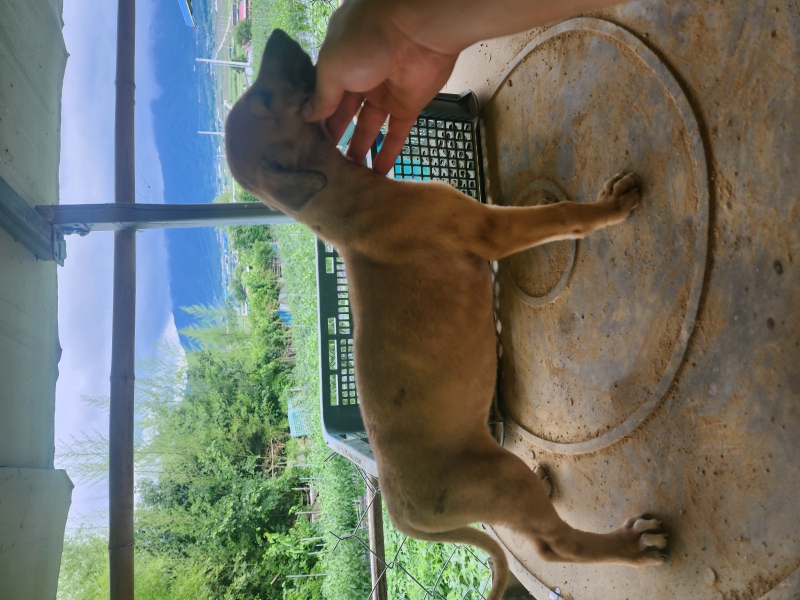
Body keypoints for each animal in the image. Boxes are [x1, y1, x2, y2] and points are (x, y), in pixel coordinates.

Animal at [226, 29, 668, 600]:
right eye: (262, 97)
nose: (278, 36)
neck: (349, 205)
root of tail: (401, 513)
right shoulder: (490, 230)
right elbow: (560, 216)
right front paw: (607, 208)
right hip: (499, 479)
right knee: (555, 545)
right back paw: (632, 546)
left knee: (534, 534)